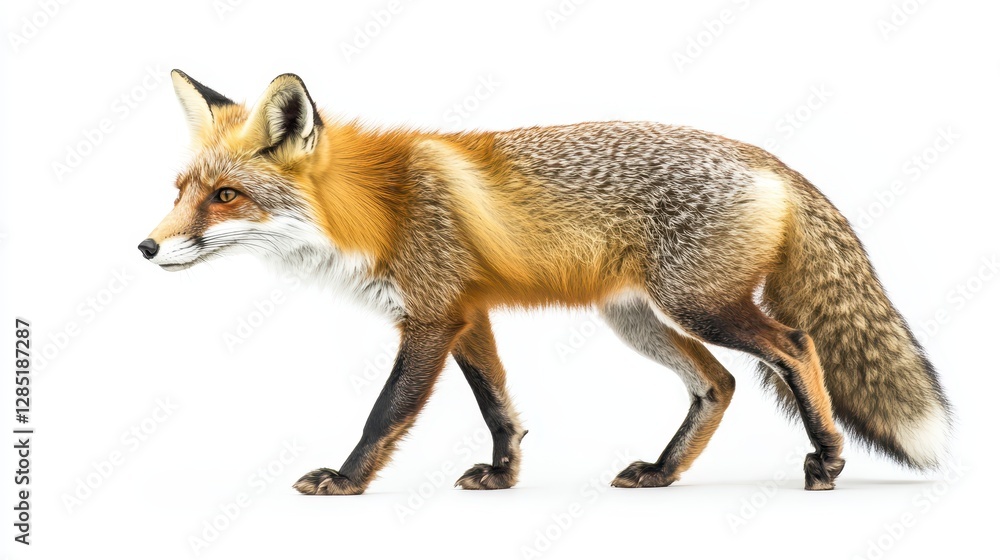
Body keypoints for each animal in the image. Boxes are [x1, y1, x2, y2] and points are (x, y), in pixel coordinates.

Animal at [140, 70, 952, 494]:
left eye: (226, 197)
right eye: (181, 191)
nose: (146, 248)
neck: (383, 206)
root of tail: (771, 160)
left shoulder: (430, 317)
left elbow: (384, 413)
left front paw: (346, 481)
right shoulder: (468, 316)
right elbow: (500, 409)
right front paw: (504, 477)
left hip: (702, 307)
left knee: (796, 346)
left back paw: (828, 459)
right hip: (641, 320)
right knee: (718, 383)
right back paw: (663, 471)